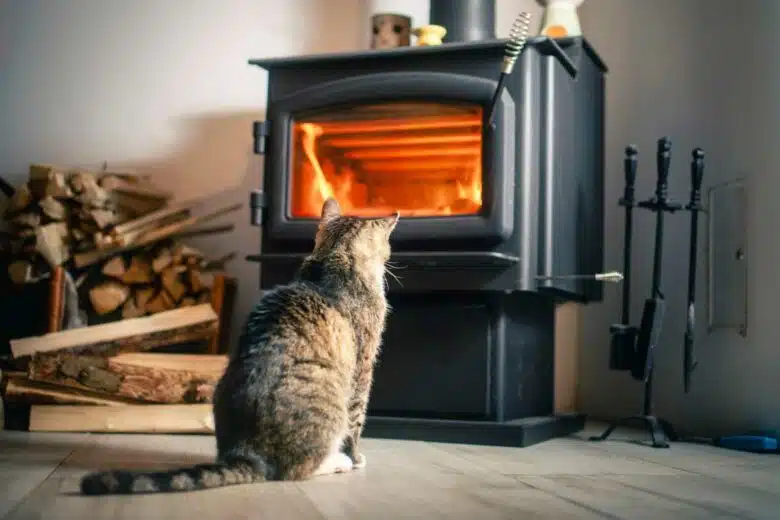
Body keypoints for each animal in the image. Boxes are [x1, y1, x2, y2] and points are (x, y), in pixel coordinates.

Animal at [79, 197, 400, 494]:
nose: (389, 258)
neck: (335, 257)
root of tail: (247, 454)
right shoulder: (362, 368)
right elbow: (357, 421)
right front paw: (355, 457)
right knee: (297, 468)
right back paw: (337, 462)